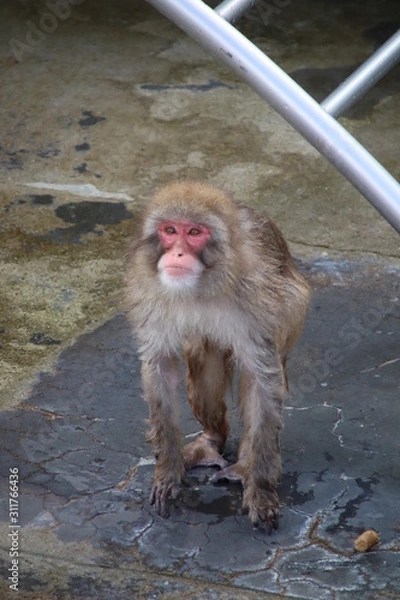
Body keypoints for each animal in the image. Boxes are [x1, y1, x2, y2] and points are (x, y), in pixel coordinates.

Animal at [123, 180, 310, 532]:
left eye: (195, 232)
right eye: (170, 230)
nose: (177, 253)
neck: (203, 284)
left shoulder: (258, 294)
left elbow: (263, 380)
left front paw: (260, 489)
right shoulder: (150, 291)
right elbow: (160, 366)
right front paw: (167, 470)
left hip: (292, 318)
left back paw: (245, 465)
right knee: (203, 355)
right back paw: (212, 440)